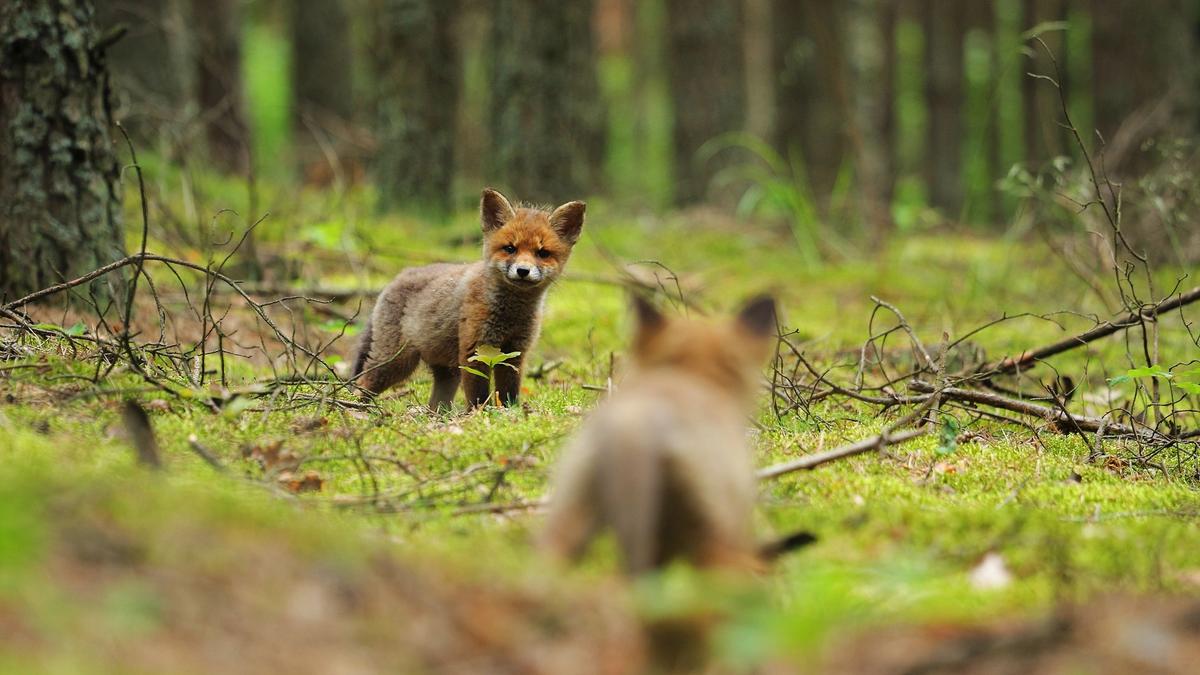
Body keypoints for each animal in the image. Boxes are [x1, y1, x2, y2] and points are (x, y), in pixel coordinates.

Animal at [351, 188, 585, 409]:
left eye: (542, 253)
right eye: (510, 248)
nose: (523, 271)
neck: (511, 313)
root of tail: (398, 276)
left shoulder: (514, 352)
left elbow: (508, 392)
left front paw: (510, 413)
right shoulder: (474, 348)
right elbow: (478, 393)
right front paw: (478, 414)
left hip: (447, 371)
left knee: (436, 404)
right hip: (396, 362)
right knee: (362, 383)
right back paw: (357, 408)